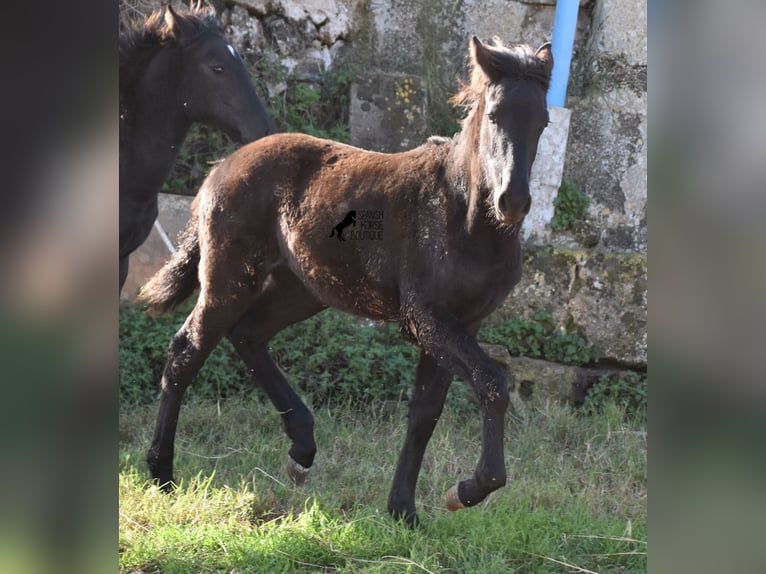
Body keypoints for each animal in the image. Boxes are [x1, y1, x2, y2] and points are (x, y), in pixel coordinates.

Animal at [141, 38, 556, 528]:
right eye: (493, 115)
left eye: (543, 122)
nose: (513, 201)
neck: (462, 215)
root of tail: (221, 166)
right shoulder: (426, 318)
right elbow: (492, 383)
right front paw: (468, 489)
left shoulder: (461, 323)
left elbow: (425, 412)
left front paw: (403, 510)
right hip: (229, 278)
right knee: (187, 352)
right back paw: (161, 472)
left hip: (302, 288)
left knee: (249, 335)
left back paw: (301, 450)